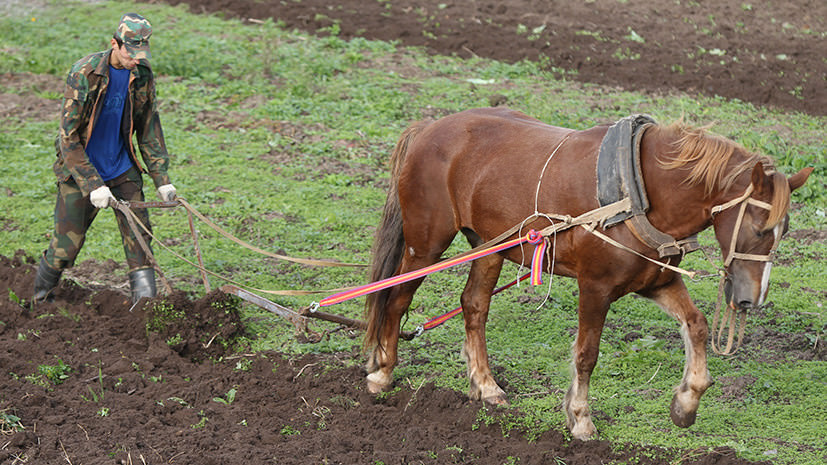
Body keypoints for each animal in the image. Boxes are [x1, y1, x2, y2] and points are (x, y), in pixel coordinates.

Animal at [364, 107, 816, 440]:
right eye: (758, 228)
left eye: (785, 229)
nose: (751, 298)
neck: (638, 190)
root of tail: (428, 128)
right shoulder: (595, 287)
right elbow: (586, 355)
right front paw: (580, 419)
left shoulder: (656, 281)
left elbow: (697, 325)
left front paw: (686, 403)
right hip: (425, 244)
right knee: (395, 298)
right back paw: (382, 373)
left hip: (489, 245)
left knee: (474, 306)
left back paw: (488, 387)